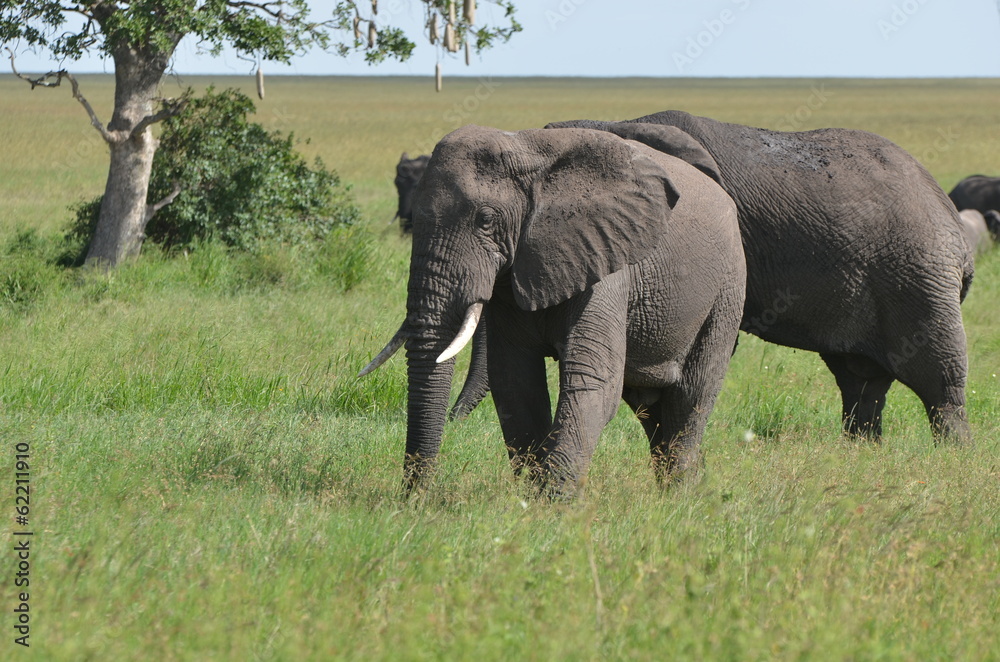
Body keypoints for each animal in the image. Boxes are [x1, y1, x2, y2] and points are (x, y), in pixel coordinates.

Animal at [360, 126, 744, 498]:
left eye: (485, 220)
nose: (413, 499)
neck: (527, 152)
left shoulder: (605, 259)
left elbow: (592, 378)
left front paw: (555, 503)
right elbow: (514, 380)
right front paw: (534, 499)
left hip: (727, 291)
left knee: (690, 397)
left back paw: (679, 497)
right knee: (650, 407)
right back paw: (685, 490)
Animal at [544, 113, 972, 446]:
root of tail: (951, 218)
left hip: (917, 273)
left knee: (938, 377)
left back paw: (953, 458)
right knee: (861, 379)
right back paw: (862, 451)